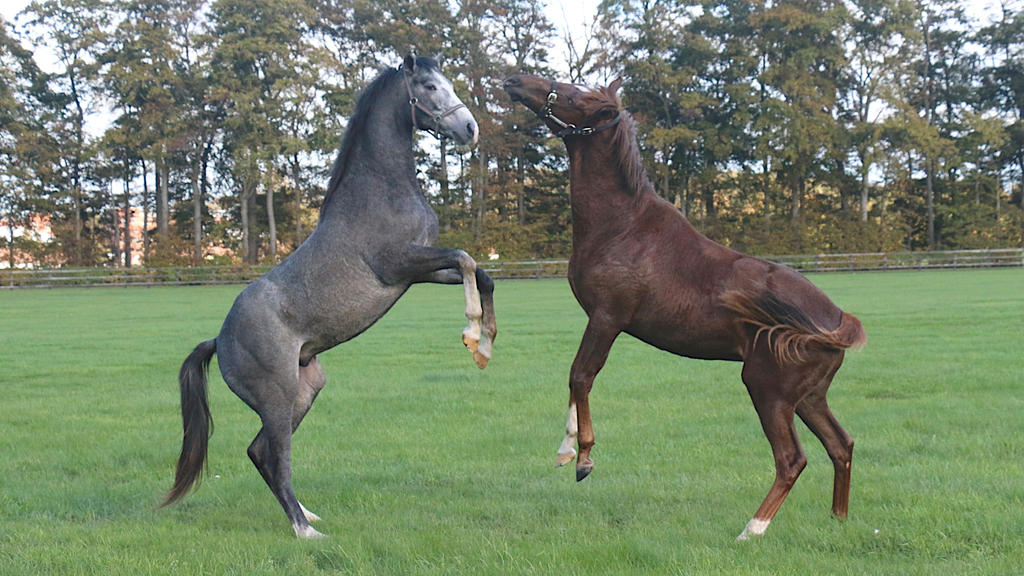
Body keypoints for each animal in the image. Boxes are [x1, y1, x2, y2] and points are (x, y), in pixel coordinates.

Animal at [162, 54, 495, 537]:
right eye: (430, 86)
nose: (470, 128)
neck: (380, 190)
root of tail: (218, 341)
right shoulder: (399, 263)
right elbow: (467, 258)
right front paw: (471, 332)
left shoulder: (419, 273)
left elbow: (481, 274)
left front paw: (485, 345)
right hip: (278, 396)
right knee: (274, 454)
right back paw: (306, 531)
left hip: (306, 390)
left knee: (259, 451)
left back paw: (308, 514)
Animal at [503, 73, 864, 537]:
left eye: (573, 95)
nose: (515, 80)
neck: (623, 226)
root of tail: (837, 320)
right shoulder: (599, 320)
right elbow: (577, 380)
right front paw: (566, 451)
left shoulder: (607, 317)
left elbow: (581, 376)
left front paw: (583, 458)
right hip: (809, 397)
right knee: (841, 444)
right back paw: (838, 521)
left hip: (768, 391)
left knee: (792, 460)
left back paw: (751, 530)